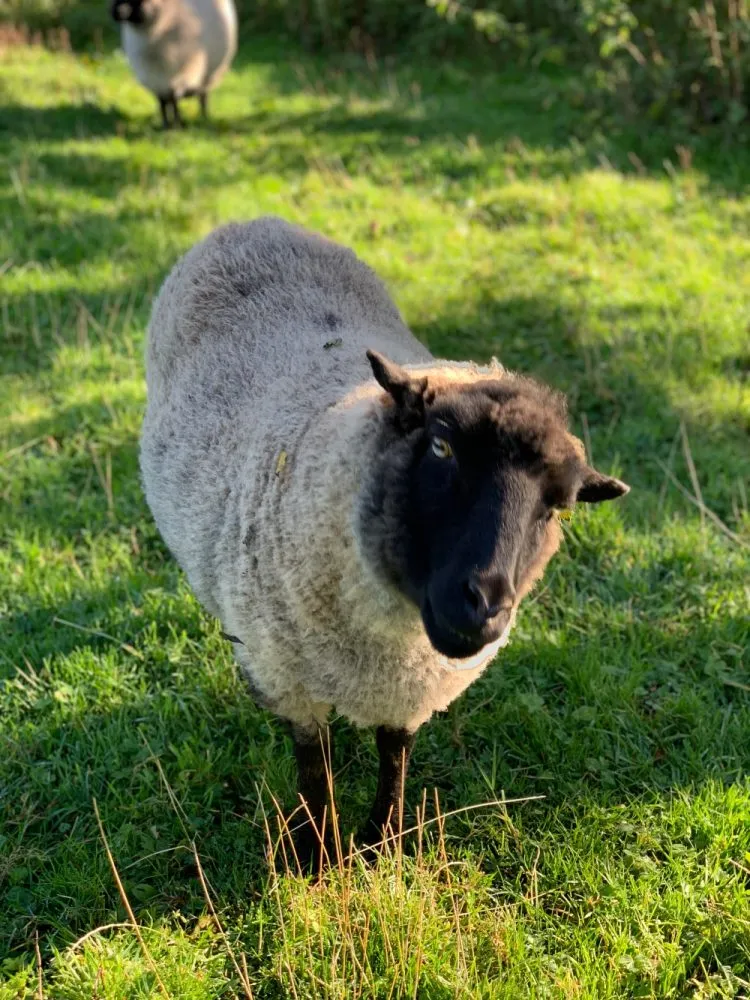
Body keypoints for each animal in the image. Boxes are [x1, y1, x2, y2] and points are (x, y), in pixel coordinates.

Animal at [111, 0, 237, 128]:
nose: (116, 12)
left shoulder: (179, 76)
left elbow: (174, 101)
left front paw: (177, 125)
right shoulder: (155, 80)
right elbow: (162, 103)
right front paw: (166, 124)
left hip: (209, 75)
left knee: (203, 96)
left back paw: (204, 117)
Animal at [139, 216, 630, 868]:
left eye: (559, 505)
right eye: (441, 448)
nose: (484, 606)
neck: (390, 642)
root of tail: (251, 220)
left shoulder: (409, 689)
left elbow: (393, 758)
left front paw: (381, 847)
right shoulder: (291, 682)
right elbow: (315, 772)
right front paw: (319, 858)